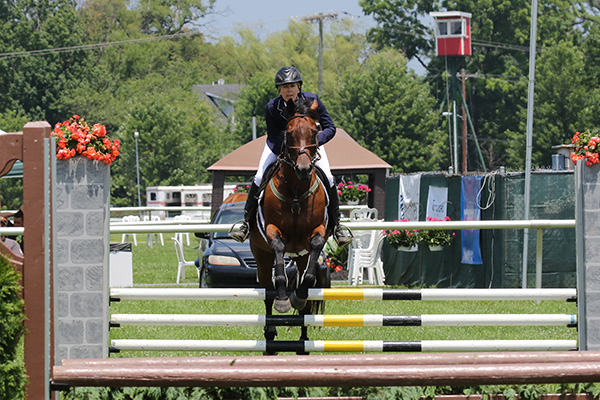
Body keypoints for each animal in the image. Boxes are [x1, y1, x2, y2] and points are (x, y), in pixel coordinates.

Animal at [250, 97, 332, 350]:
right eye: (289, 133)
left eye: (315, 131)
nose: (304, 169)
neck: (296, 189)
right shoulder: (271, 231)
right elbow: (278, 248)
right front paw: (283, 301)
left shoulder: (317, 231)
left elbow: (315, 250)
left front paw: (298, 296)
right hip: (261, 256)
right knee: (267, 291)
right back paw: (270, 330)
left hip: (302, 256)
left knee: (305, 292)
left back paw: (303, 339)